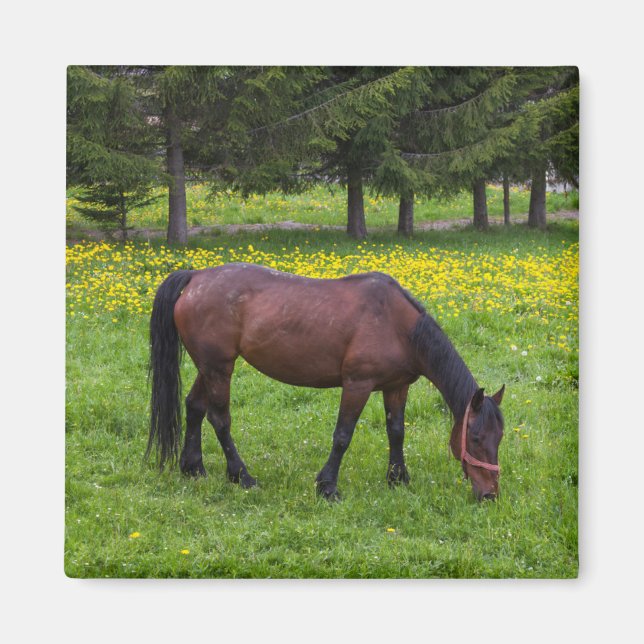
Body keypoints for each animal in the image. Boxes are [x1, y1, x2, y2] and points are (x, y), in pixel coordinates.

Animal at [147, 263, 505, 501]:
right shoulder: (358, 385)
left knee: (194, 406)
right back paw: (242, 476)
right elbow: (343, 436)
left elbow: (396, 432)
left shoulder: (396, 386)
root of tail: (196, 277)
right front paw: (327, 486)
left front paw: (398, 479)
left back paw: (193, 467)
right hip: (219, 368)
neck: (398, 325)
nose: (490, 494)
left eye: (498, 438)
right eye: (474, 438)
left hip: (210, 367)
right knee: (220, 419)